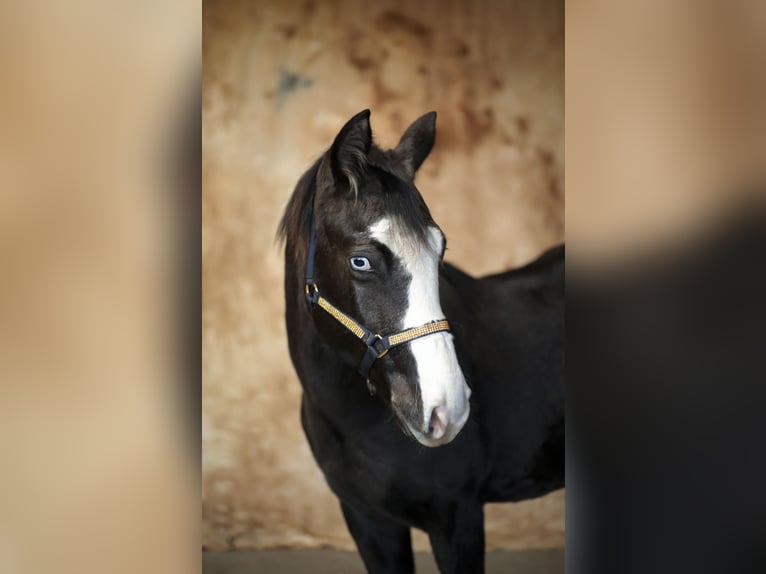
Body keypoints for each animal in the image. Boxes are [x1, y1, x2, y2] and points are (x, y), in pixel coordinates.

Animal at [277, 109, 564, 573]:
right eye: (361, 261)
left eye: (440, 250)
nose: (448, 410)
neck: (355, 420)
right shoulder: (368, 521)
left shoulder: (457, 519)